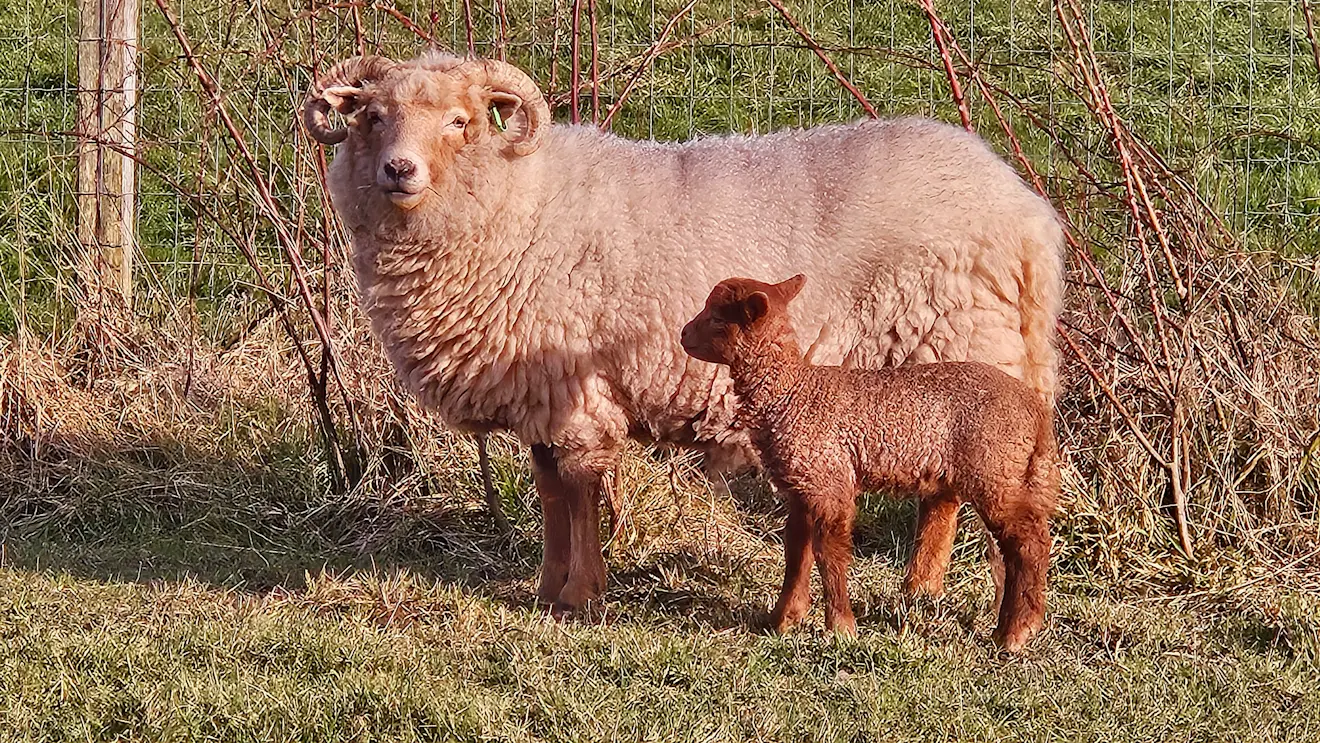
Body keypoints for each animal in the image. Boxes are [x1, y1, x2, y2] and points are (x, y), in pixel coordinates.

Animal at [299, 49, 1061, 612]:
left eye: (460, 121)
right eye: (372, 116)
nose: (400, 169)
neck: (518, 204)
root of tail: (1027, 212)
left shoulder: (574, 390)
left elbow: (579, 489)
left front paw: (581, 595)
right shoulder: (539, 391)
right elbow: (549, 491)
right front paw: (548, 587)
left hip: (955, 345)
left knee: (949, 490)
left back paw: (921, 586)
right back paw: (921, 588)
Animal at [681, 273, 1061, 651]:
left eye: (717, 318)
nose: (683, 335)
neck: (792, 394)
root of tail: (1036, 411)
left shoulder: (829, 482)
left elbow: (829, 554)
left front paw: (841, 627)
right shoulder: (803, 487)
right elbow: (797, 553)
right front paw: (783, 620)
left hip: (996, 471)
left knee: (1029, 544)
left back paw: (1014, 633)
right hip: (1011, 472)